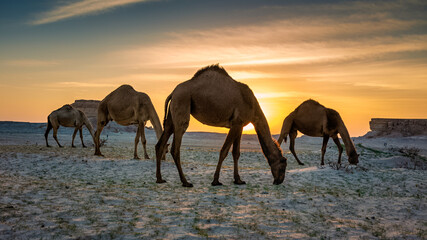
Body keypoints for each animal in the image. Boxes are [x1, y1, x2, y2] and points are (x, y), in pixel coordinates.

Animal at [156, 64, 288, 188]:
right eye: (283, 166)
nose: (279, 181)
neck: (253, 107)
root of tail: (173, 93)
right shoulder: (236, 124)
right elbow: (224, 151)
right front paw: (216, 181)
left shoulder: (239, 125)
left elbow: (236, 153)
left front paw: (238, 180)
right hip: (182, 103)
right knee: (175, 147)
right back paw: (185, 182)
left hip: (172, 114)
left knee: (161, 142)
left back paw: (160, 179)